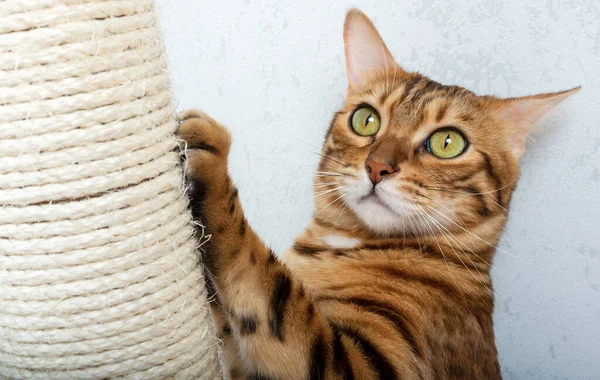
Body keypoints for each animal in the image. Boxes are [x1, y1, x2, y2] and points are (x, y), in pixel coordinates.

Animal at [177, 6, 576, 380]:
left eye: (448, 142)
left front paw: (211, 158)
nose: (377, 167)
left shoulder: (365, 364)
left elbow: (264, 279)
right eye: (366, 119)